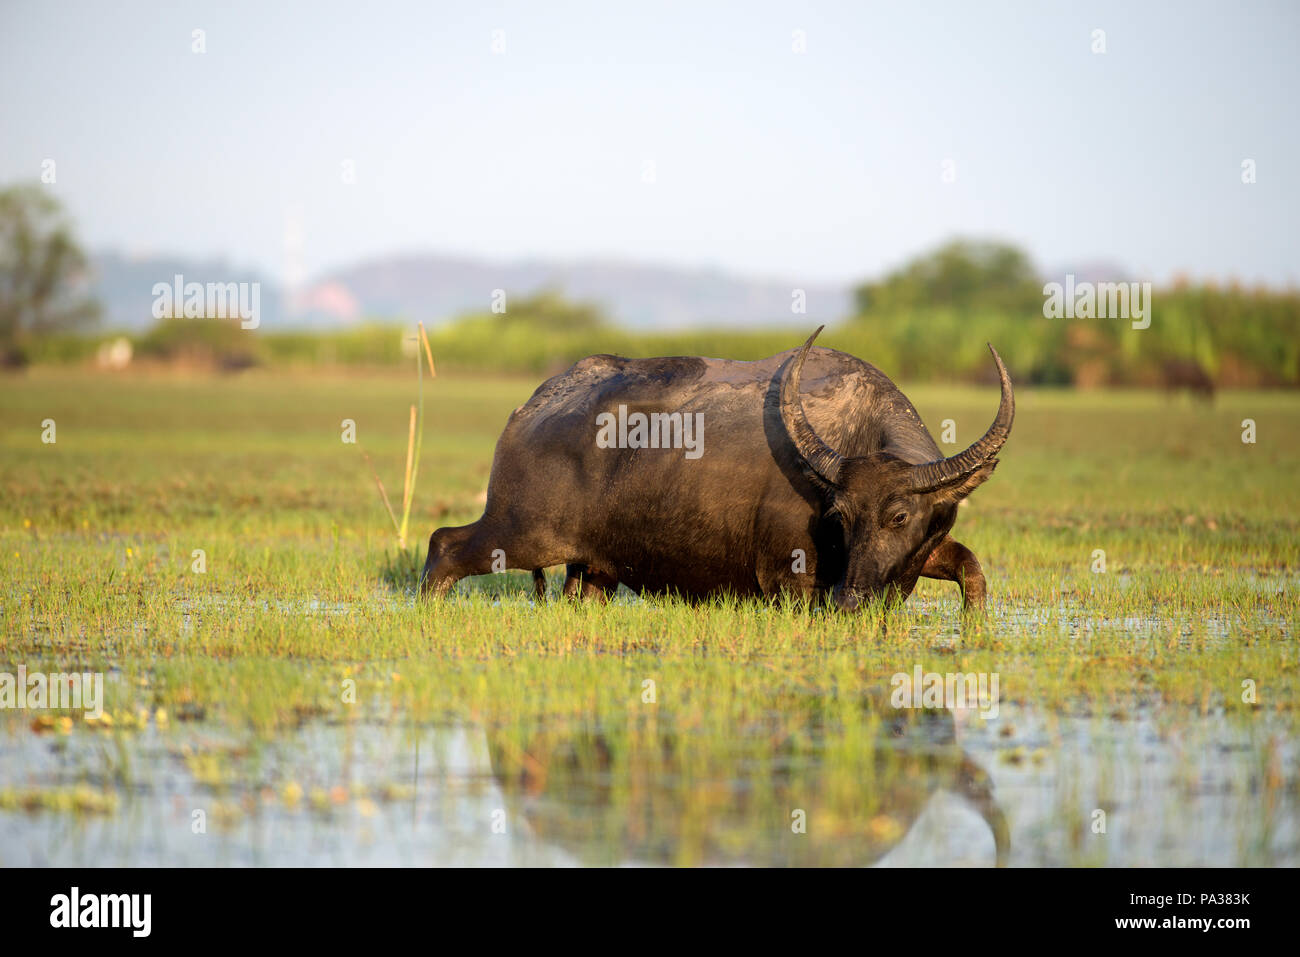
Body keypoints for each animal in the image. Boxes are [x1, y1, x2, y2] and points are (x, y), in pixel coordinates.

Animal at [421, 327, 1014, 613]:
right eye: (839, 516)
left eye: (898, 516)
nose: (852, 599)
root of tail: (530, 409)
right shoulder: (790, 580)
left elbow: (971, 570)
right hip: (519, 532)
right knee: (443, 544)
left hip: (593, 570)